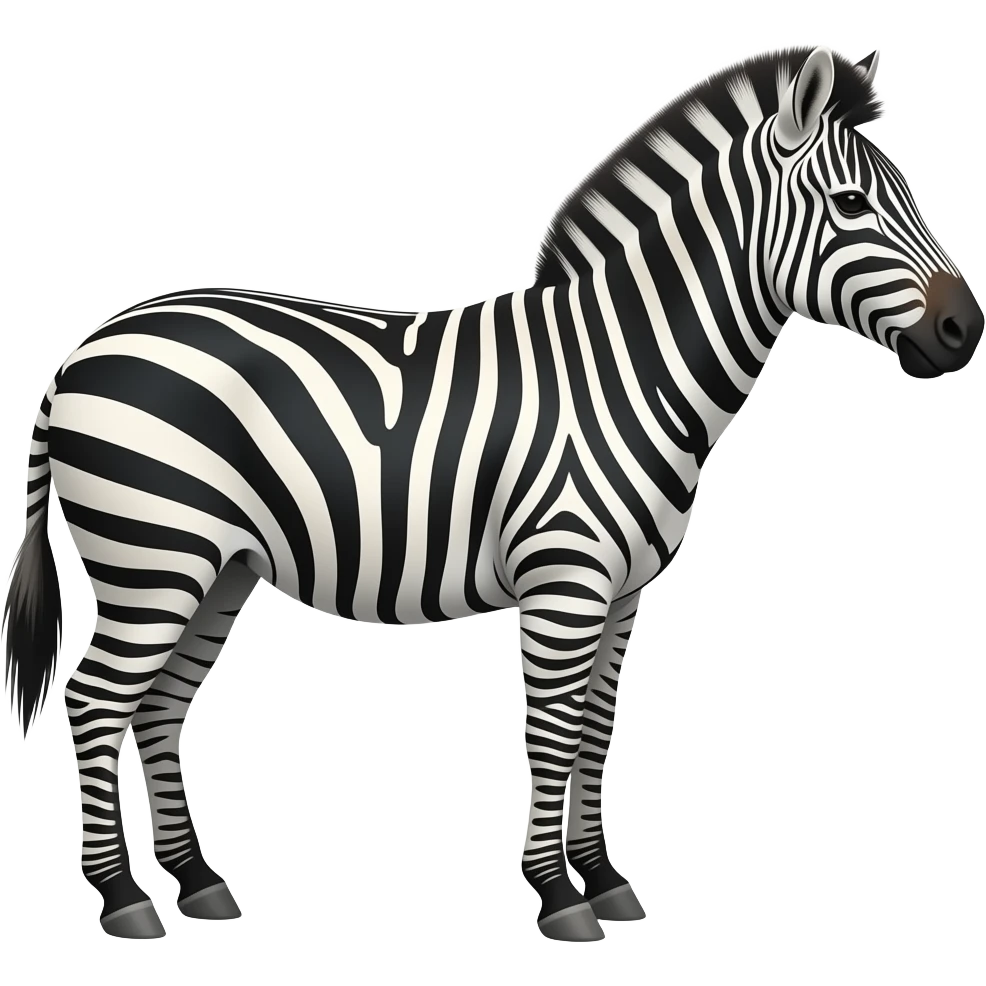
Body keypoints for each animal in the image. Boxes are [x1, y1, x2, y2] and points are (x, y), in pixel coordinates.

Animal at [2, 43, 982, 943]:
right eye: (851, 204)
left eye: (906, 192)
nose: (963, 329)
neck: (626, 369)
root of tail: (78, 354)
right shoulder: (565, 582)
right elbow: (550, 733)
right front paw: (559, 896)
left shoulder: (622, 595)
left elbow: (594, 731)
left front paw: (604, 880)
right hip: (152, 557)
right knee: (96, 703)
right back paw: (125, 901)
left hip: (220, 567)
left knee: (159, 706)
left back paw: (200, 883)